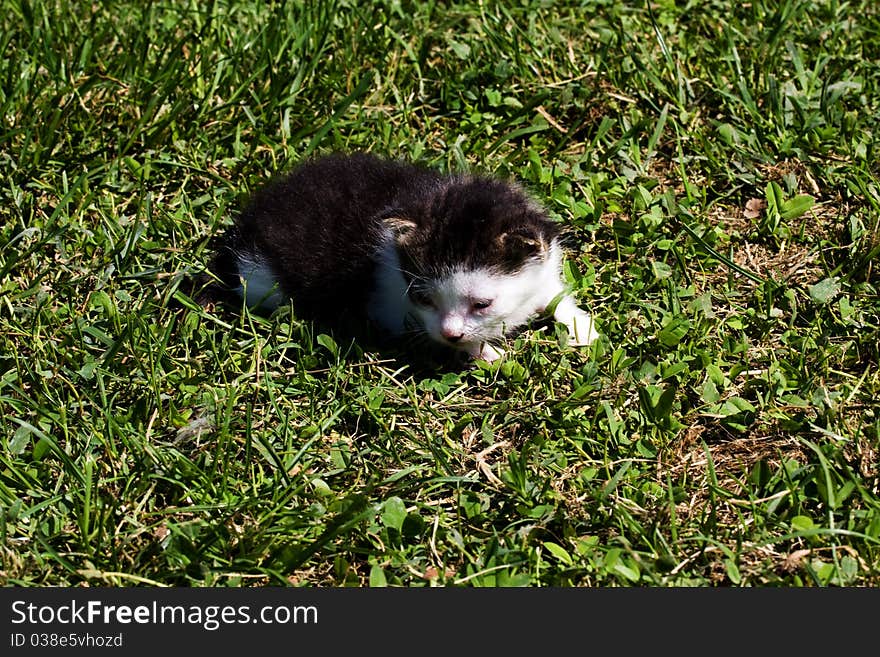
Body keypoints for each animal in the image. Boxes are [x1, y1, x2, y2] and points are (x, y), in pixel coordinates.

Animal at [210, 152, 600, 362]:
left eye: (482, 304)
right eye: (424, 299)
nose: (450, 334)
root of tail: (249, 220)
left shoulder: (543, 263)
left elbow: (553, 294)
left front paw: (583, 327)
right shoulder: (391, 308)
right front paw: (486, 353)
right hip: (264, 282)